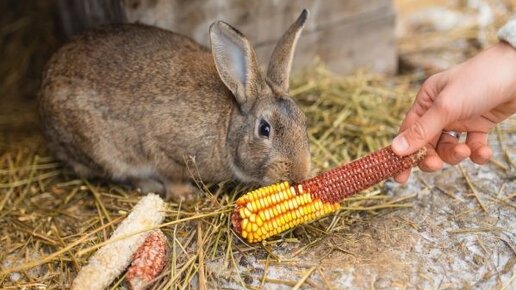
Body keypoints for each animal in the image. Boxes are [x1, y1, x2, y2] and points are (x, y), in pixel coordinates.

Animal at [39, 8, 310, 199]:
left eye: (304, 122)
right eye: (265, 129)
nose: (299, 174)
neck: (226, 127)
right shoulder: (163, 146)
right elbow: (170, 173)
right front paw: (185, 194)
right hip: (100, 149)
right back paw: (150, 185)